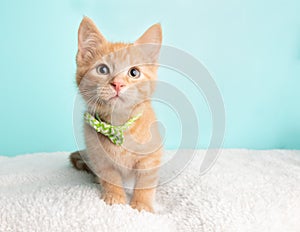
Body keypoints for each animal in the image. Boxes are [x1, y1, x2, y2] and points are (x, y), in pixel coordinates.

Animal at [69, 16, 163, 212]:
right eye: (103, 70)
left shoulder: (152, 156)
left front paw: (142, 204)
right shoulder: (99, 157)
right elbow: (110, 177)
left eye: (134, 72)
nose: (118, 84)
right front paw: (115, 198)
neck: (118, 126)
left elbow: (146, 181)